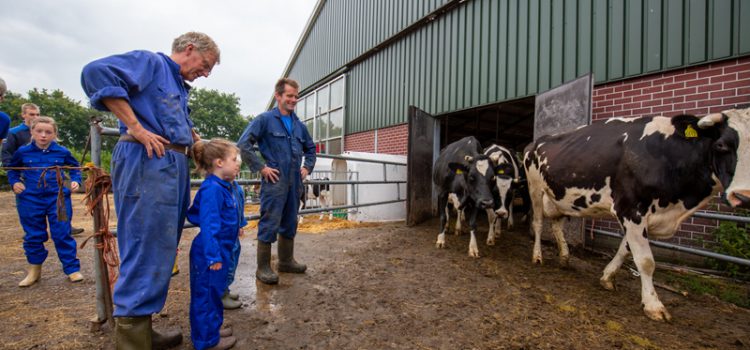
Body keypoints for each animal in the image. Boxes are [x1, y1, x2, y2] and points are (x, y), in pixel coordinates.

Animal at [524, 108, 750, 322]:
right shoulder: (631, 208)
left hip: (560, 196)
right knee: (538, 223)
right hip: (535, 189)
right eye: (721, 145)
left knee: (556, 225)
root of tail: (536, 142)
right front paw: (653, 305)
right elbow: (646, 261)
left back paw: (564, 257)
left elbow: (625, 250)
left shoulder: (641, 217)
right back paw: (537, 256)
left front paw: (608, 277)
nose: (744, 196)